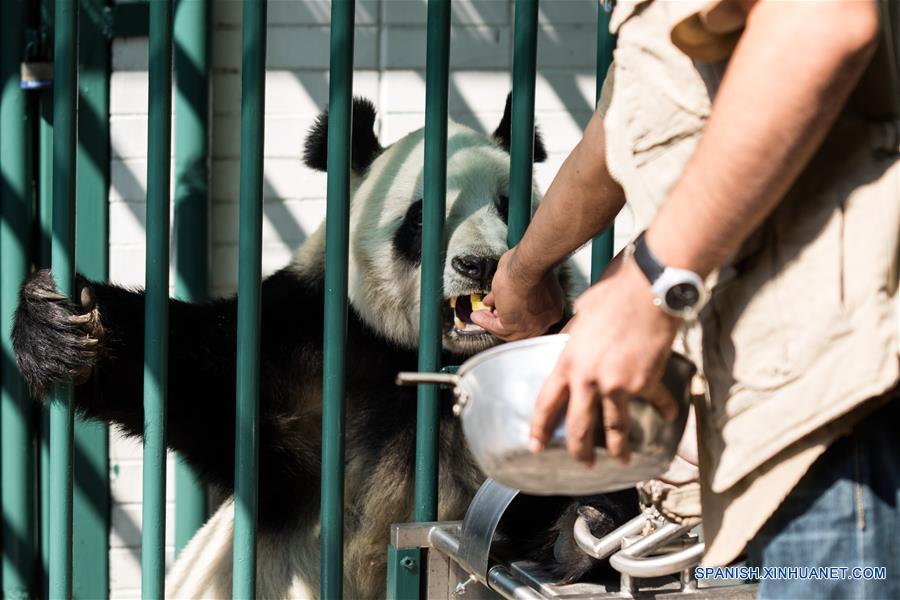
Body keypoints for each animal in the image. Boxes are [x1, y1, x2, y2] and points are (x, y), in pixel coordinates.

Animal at [10, 96, 636, 596]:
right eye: (421, 217)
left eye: (509, 207)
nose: (480, 264)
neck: (433, 362)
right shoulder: (299, 352)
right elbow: (187, 364)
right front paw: (57, 324)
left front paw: (587, 529)